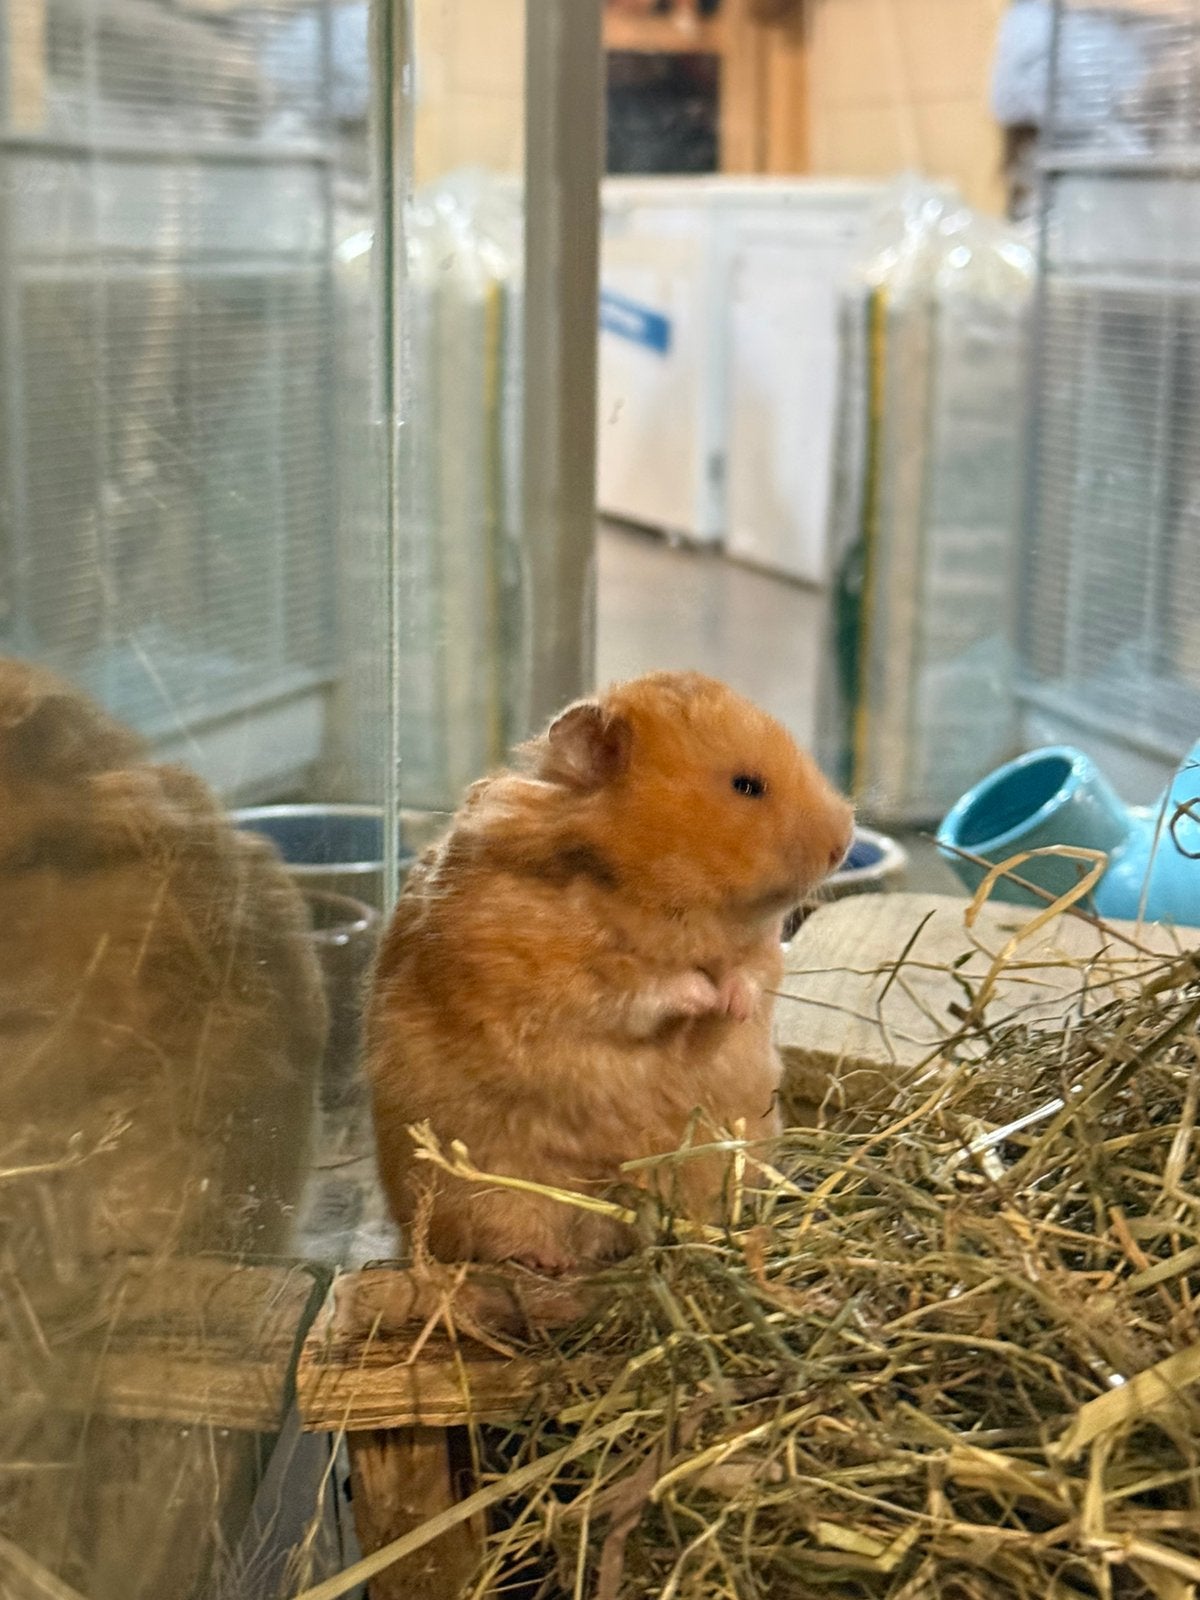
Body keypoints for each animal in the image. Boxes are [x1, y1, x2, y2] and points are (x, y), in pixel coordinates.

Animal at [366, 670, 853, 1272]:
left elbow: (752, 976)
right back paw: (548, 1262)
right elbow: (647, 987)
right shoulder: (565, 973)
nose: (844, 842)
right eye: (747, 786)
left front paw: (732, 1002)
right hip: (486, 1194)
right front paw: (707, 993)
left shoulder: (761, 953)